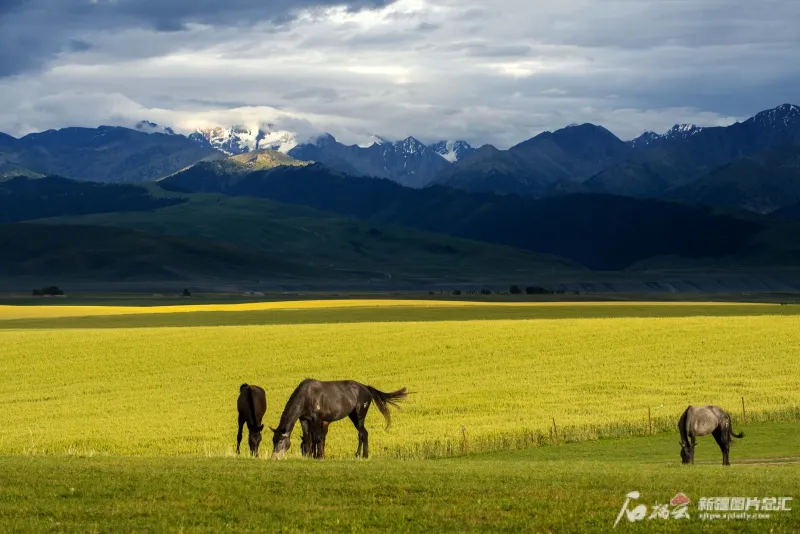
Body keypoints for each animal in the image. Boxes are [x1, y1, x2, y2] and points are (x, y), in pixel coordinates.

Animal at [270, 378, 406, 462]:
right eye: (273, 440)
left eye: (281, 441)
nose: (274, 457)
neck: (306, 396)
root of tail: (365, 388)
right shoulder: (303, 419)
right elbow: (308, 438)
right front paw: (308, 456)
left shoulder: (317, 418)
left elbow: (317, 438)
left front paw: (319, 457)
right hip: (353, 416)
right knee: (364, 433)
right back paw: (361, 455)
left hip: (359, 415)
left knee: (362, 433)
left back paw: (362, 455)